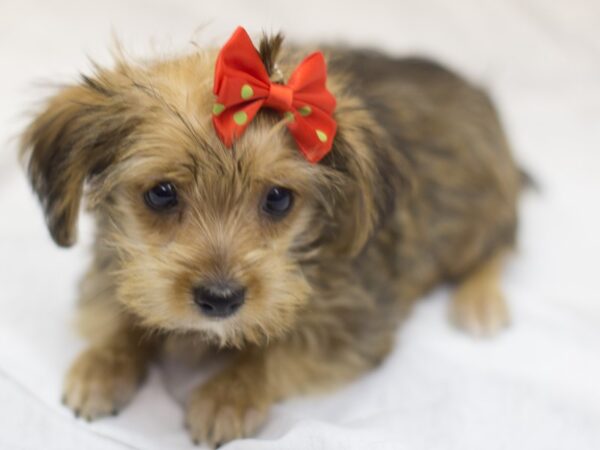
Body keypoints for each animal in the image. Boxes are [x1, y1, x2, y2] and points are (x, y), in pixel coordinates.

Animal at [21, 26, 524, 444]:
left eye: (279, 199)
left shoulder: (354, 327)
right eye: (161, 194)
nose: (220, 299)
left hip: (481, 216)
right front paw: (103, 365)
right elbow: (123, 312)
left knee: (503, 242)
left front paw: (228, 395)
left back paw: (480, 302)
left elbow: (278, 353)